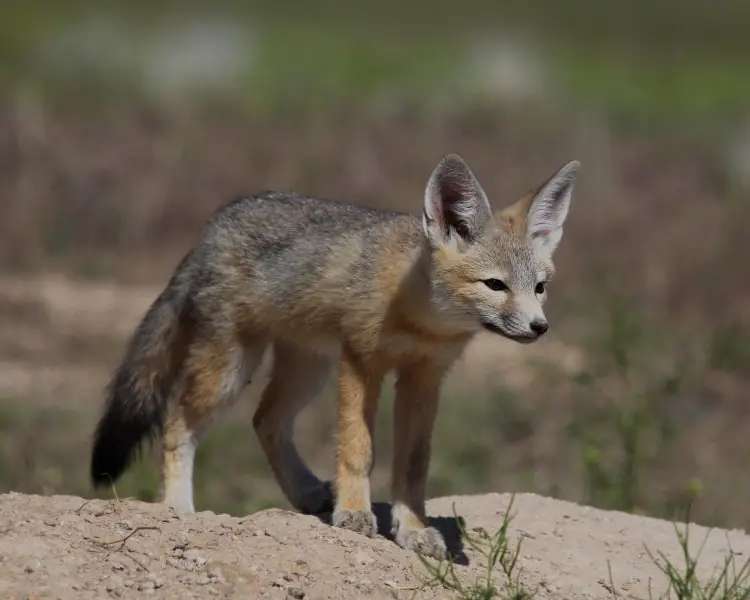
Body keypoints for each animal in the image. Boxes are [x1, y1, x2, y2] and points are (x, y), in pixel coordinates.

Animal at [90, 153, 579, 559]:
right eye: (495, 285)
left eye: (539, 288)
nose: (539, 327)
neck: (421, 318)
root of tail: (217, 222)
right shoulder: (361, 363)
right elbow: (357, 448)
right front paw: (356, 513)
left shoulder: (424, 378)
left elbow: (413, 465)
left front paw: (413, 529)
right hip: (230, 369)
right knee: (178, 423)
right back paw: (177, 507)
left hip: (308, 370)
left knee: (266, 420)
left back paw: (305, 492)